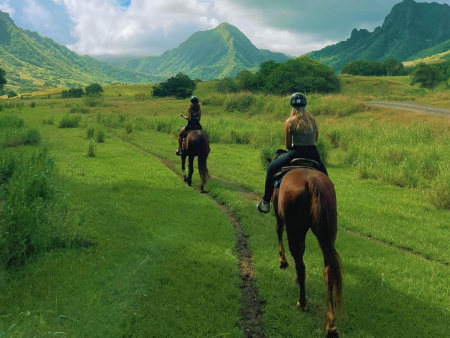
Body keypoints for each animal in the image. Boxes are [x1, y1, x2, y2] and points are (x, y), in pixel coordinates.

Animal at [272, 167, 342, 338]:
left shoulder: (279, 215)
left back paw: (302, 303)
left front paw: (282, 260)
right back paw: (330, 324)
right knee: (328, 270)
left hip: (294, 230)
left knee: (301, 266)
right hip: (328, 234)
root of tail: (312, 181)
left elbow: (279, 230)